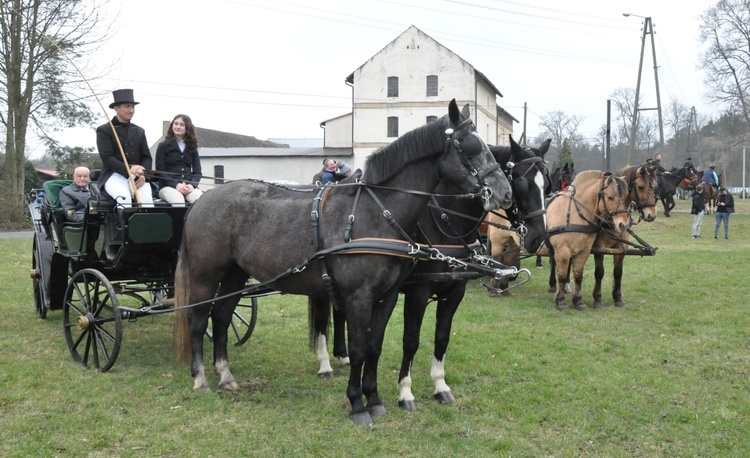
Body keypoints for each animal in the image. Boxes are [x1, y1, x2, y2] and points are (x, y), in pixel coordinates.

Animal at [173, 100, 516, 426]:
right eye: (470, 148)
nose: (505, 194)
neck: (376, 214)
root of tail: (203, 199)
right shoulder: (363, 297)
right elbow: (360, 347)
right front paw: (358, 405)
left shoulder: (389, 297)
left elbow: (375, 346)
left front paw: (374, 399)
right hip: (205, 275)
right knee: (198, 319)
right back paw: (201, 378)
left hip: (235, 274)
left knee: (221, 317)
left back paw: (225, 375)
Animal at [548, 171, 636, 312]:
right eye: (610, 197)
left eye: (625, 198)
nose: (623, 224)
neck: (574, 214)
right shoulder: (562, 251)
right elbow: (562, 275)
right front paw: (561, 302)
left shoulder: (585, 251)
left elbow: (578, 275)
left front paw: (578, 301)